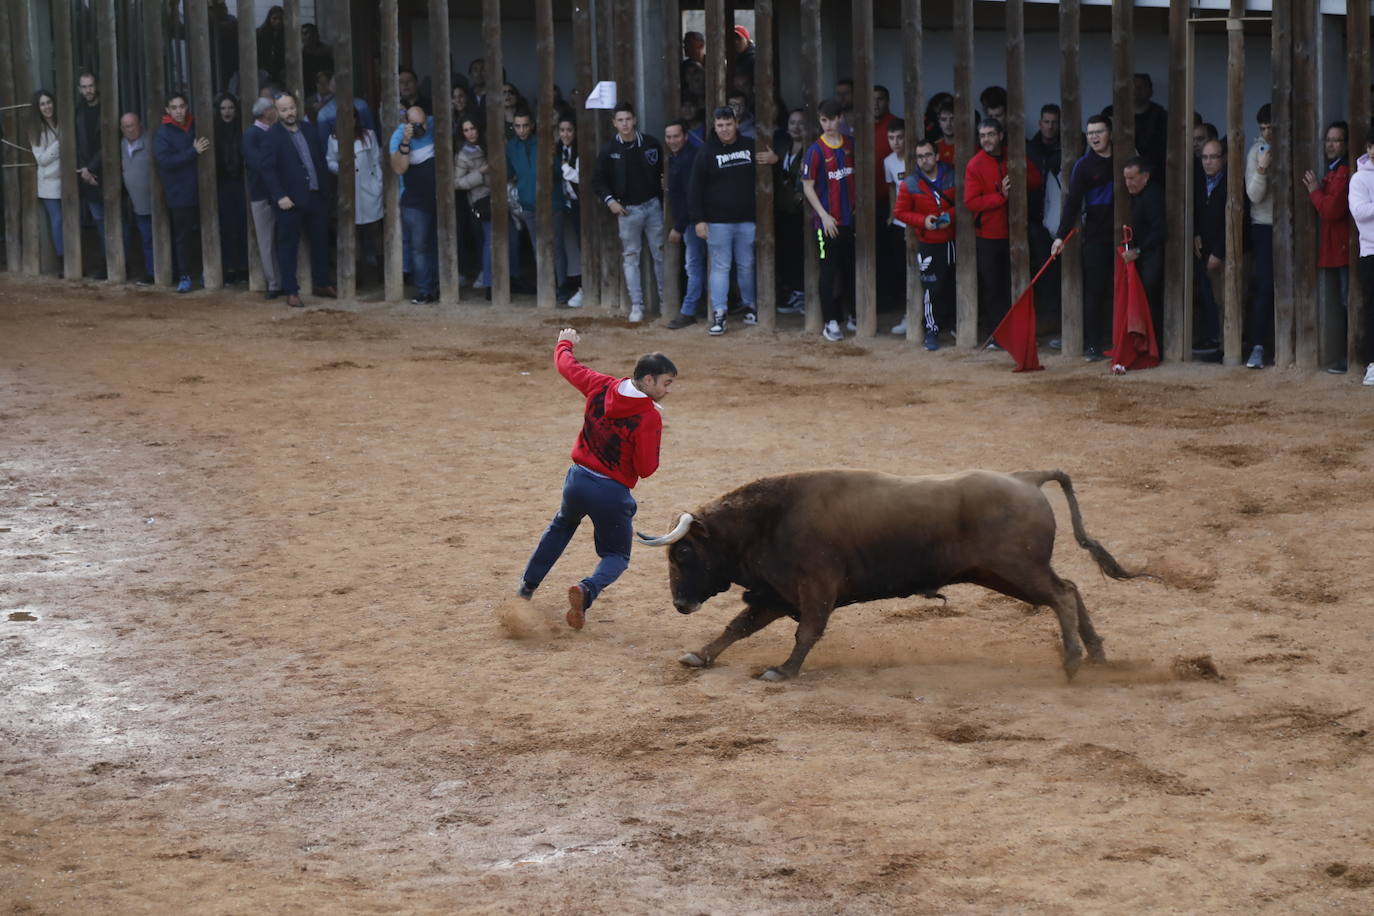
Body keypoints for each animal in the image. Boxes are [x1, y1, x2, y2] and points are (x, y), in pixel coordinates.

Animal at [634, 472, 1148, 681]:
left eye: (683, 552)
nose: (680, 604)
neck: (768, 520)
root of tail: (1027, 478)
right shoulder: (777, 594)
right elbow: (738, 626)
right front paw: (699, 656)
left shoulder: (814, 588)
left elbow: (808, 632)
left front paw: (783, 671)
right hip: (1003, 574)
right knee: (1072, 589)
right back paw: (1097, 654)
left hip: (1017, 570)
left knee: (1061, 595)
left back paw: (1074, 660)